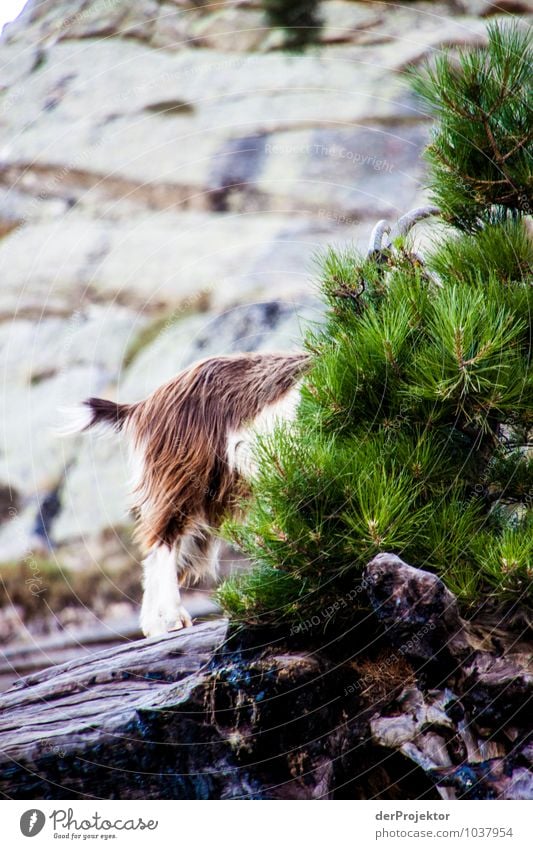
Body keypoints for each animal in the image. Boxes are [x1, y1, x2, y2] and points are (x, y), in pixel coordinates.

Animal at [66, 352, 308, 636]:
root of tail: (144, 406)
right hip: (181, 478)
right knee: (166, 541)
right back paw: (173, 618)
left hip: (214, 495)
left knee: (161, 552)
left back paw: (155, 626)